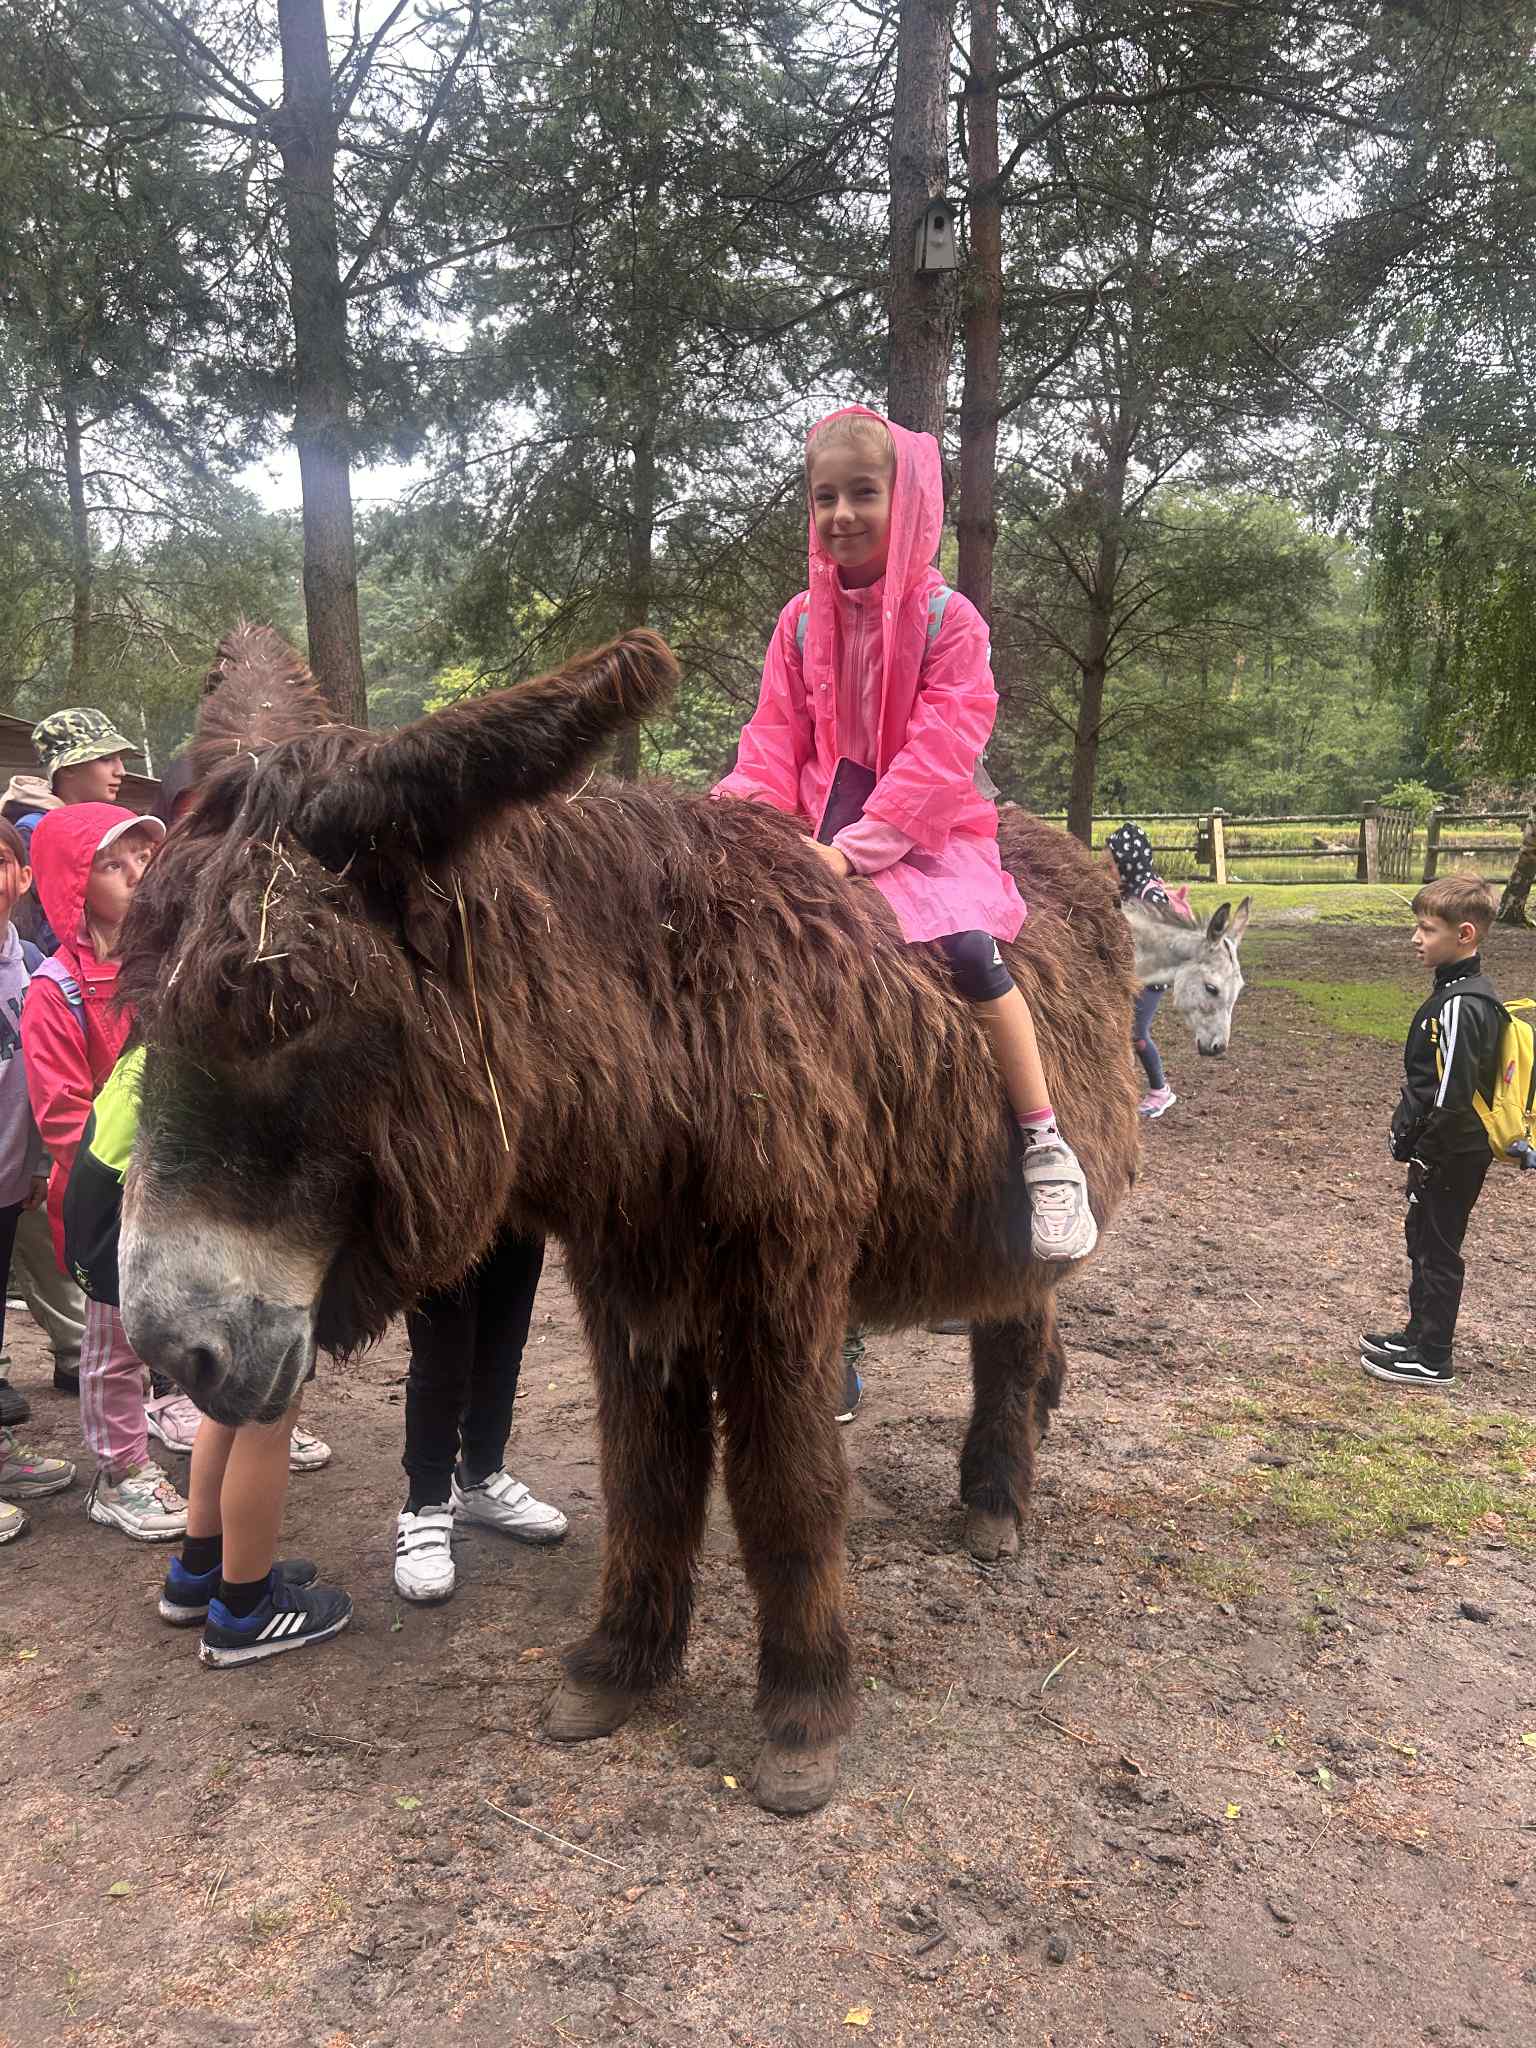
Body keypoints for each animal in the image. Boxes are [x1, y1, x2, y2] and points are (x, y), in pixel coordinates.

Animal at [116, 623, 1141, 1816]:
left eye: (288, 1010)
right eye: (142, 1010)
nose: (169, 1346)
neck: (677, 1034)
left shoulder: (783, 1278)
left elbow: (787, 1487)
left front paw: (804, 1709)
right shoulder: (632, 1276)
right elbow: (647, 1476)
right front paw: (622, 1666)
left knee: (1015, 1327)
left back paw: (997, 1495)